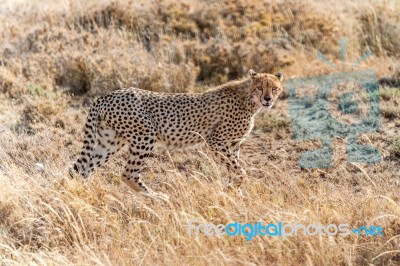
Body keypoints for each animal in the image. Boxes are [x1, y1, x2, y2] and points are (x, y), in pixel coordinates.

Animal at [71, 69, 284, 201]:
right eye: (260, 87)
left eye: (274, 88)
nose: (268, 99)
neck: (249, 99)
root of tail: (107, 95)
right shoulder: (216, 141)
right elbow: (240, 172)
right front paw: (231, 191)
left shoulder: (233, 144)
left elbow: (235, 170)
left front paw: (236, 196)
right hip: (145, 135)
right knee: (128, 174)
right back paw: (158, 198)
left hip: (109, 141)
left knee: (80, 169)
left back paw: (80, 198)